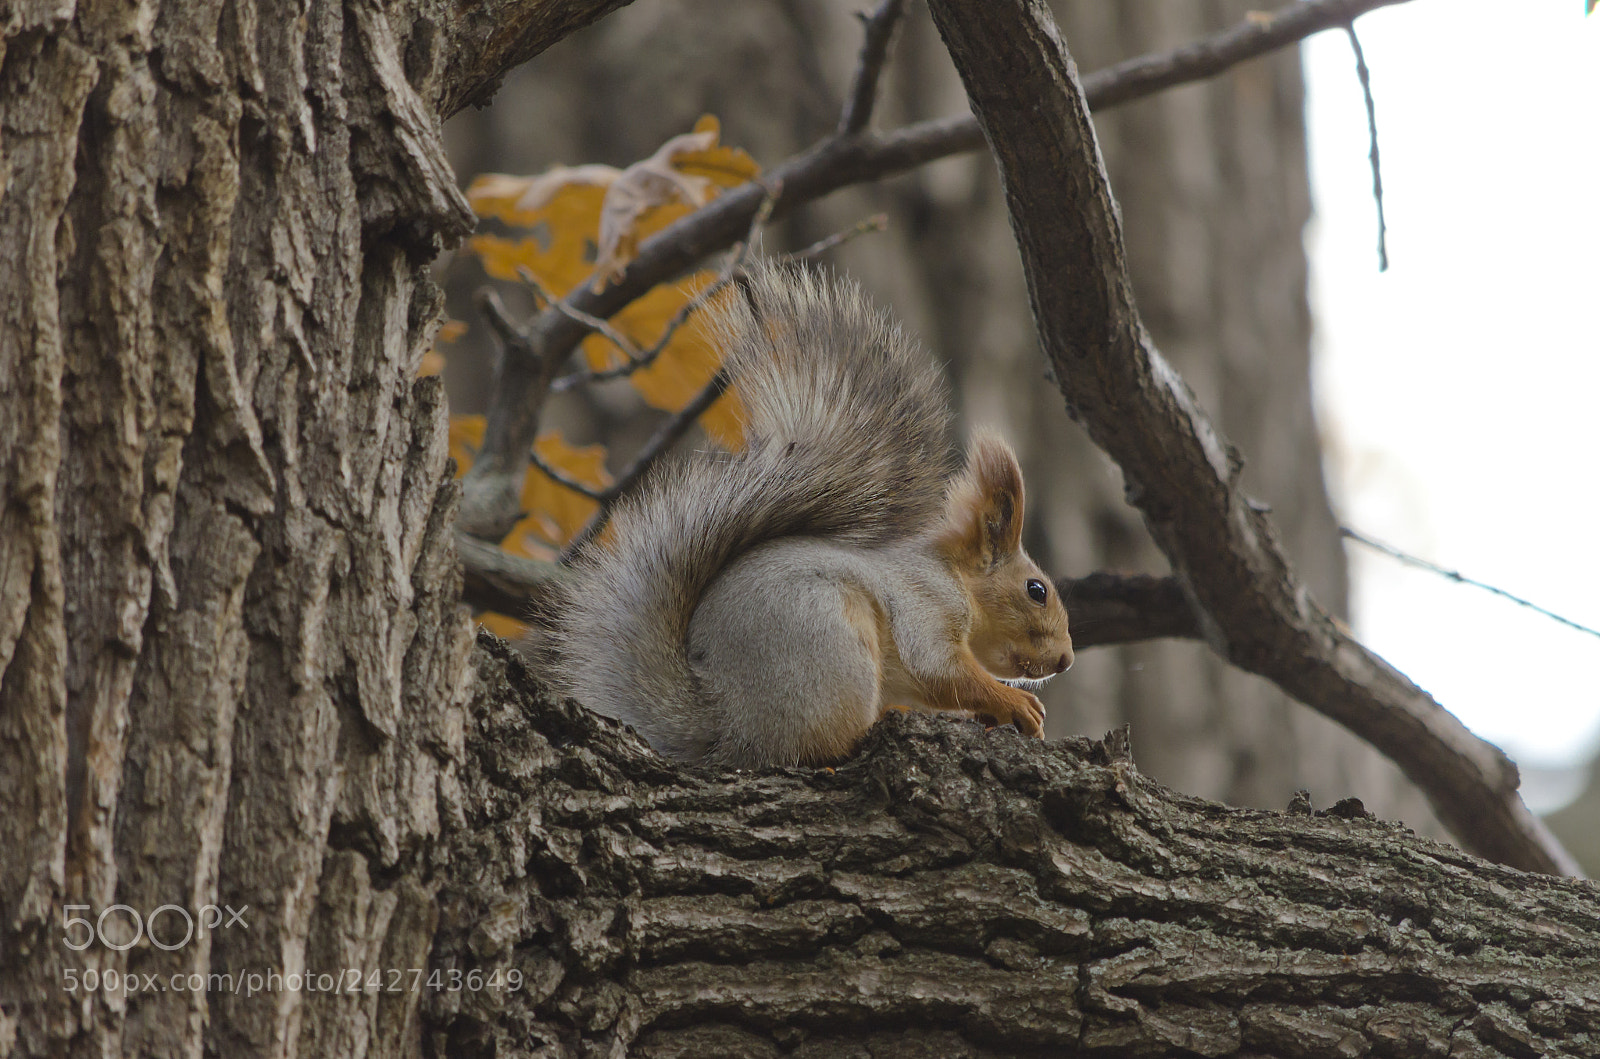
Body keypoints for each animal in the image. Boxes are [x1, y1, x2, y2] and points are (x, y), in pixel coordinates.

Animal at [540, 263, 1073, 768]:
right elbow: (940, 670)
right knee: (818, 746)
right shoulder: (925, 604)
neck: (954, 577)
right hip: (832, 650)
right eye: (1037, 590)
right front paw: (1012, 703)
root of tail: (727, 722)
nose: (1066, 660)